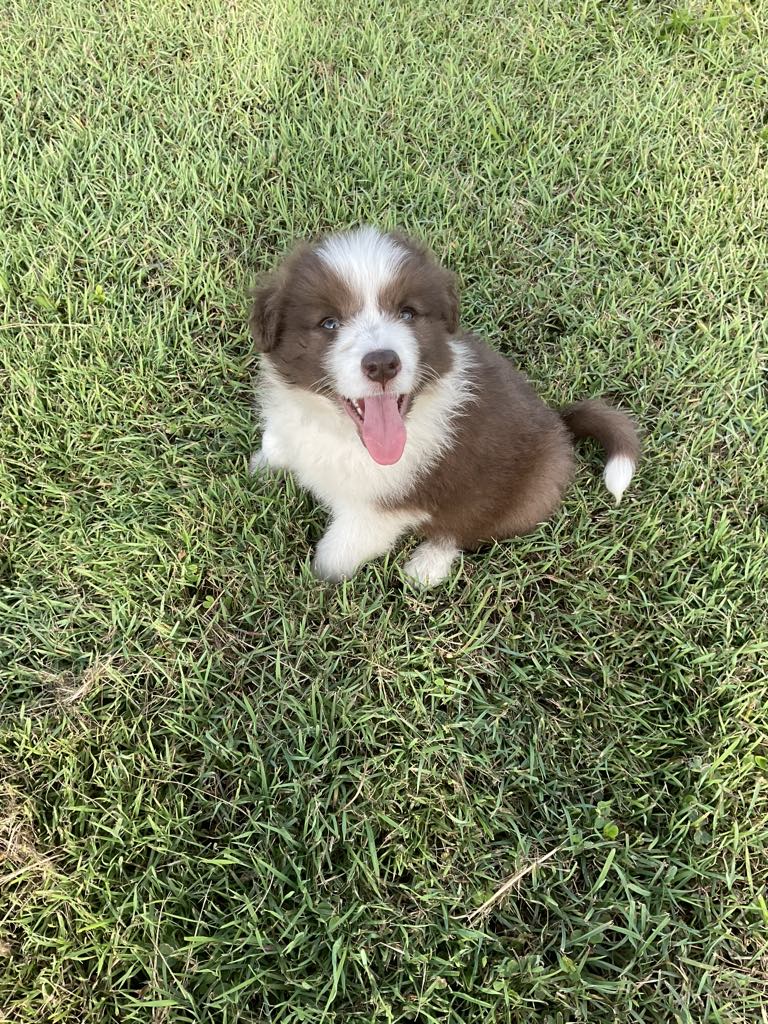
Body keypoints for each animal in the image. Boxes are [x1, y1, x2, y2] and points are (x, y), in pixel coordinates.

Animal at [249, 227, 640, 586]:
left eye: (408, 313)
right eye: (329, 323)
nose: (382, 364)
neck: (338, 430)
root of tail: (560, 425)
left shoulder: (376, 513)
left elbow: (338, 552)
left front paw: (315, 585)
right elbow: (277, 440)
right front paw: (261, 467)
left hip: (522, 494)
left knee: (465, 527)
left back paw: (427, 566)